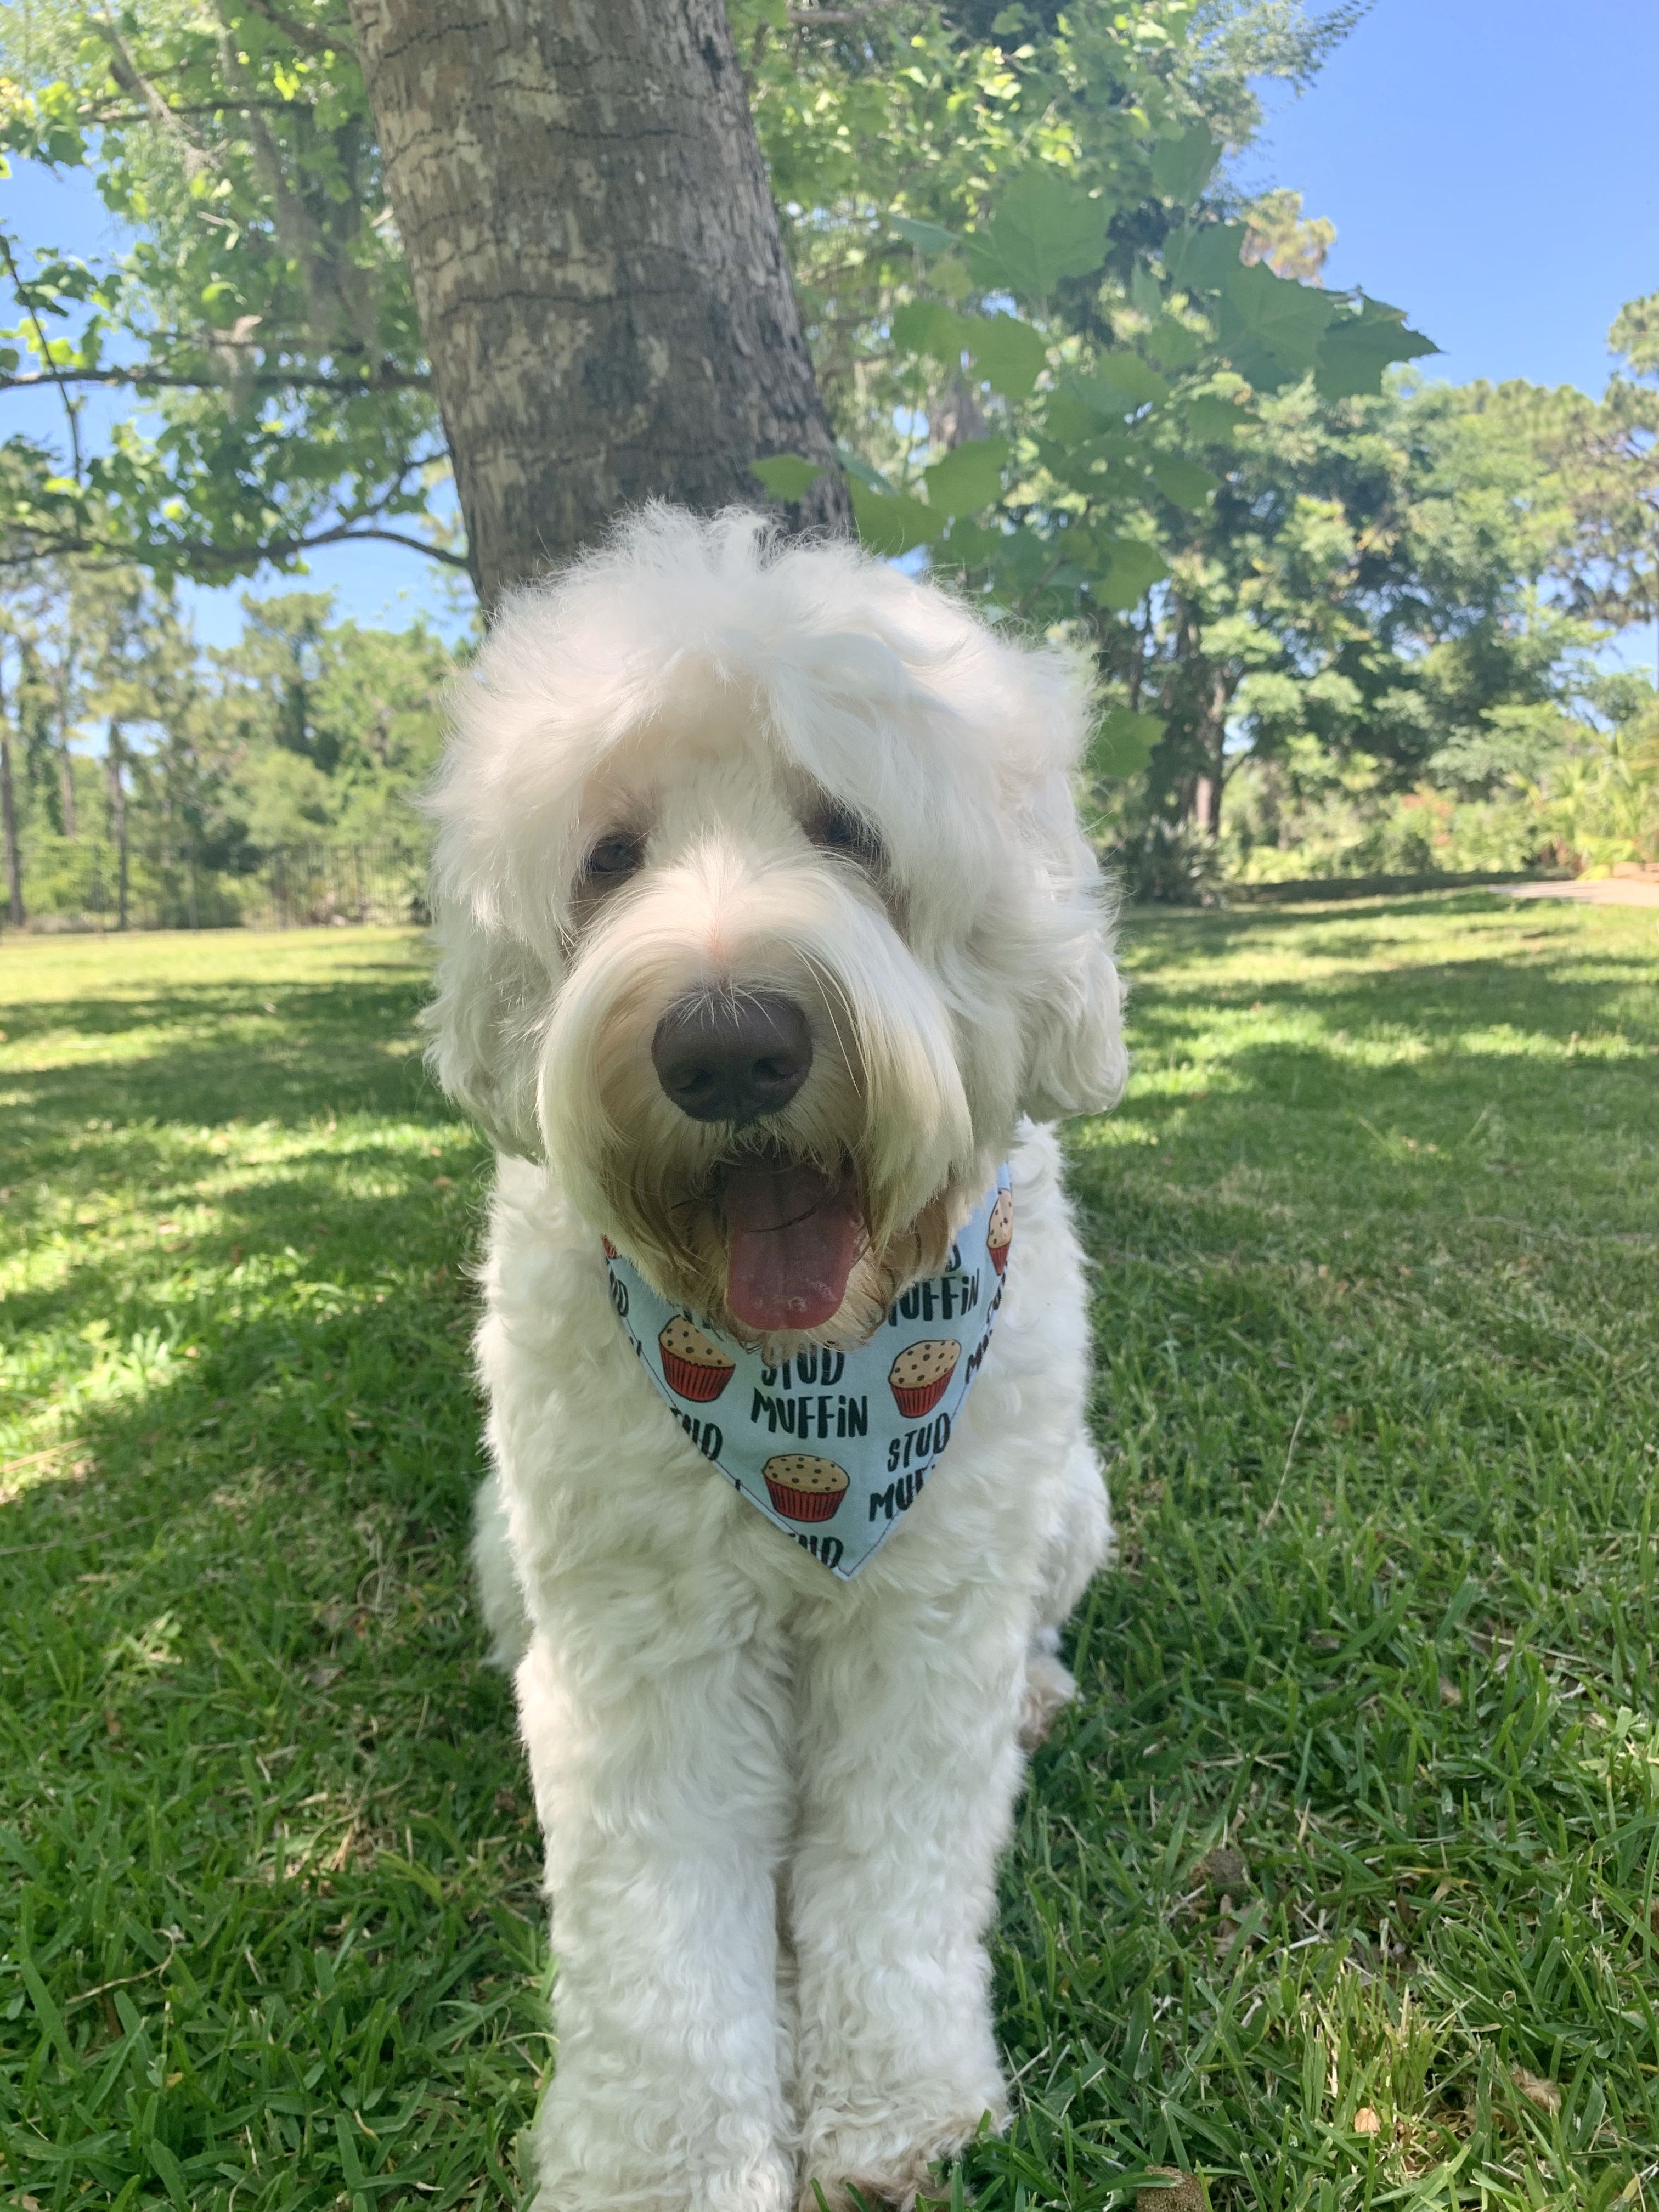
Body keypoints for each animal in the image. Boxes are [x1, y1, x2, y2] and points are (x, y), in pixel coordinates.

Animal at [429, 509, 1132, 2212]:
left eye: (851, 830)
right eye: (608, 858)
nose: (729, 1044)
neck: (810, 1381)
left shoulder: (927, 1617)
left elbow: (894, 1870)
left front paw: (897, 2111)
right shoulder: (645, 1646)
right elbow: (661, 1916)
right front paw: (664, 2164)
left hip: (1066, 1506)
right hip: (509, 1547)